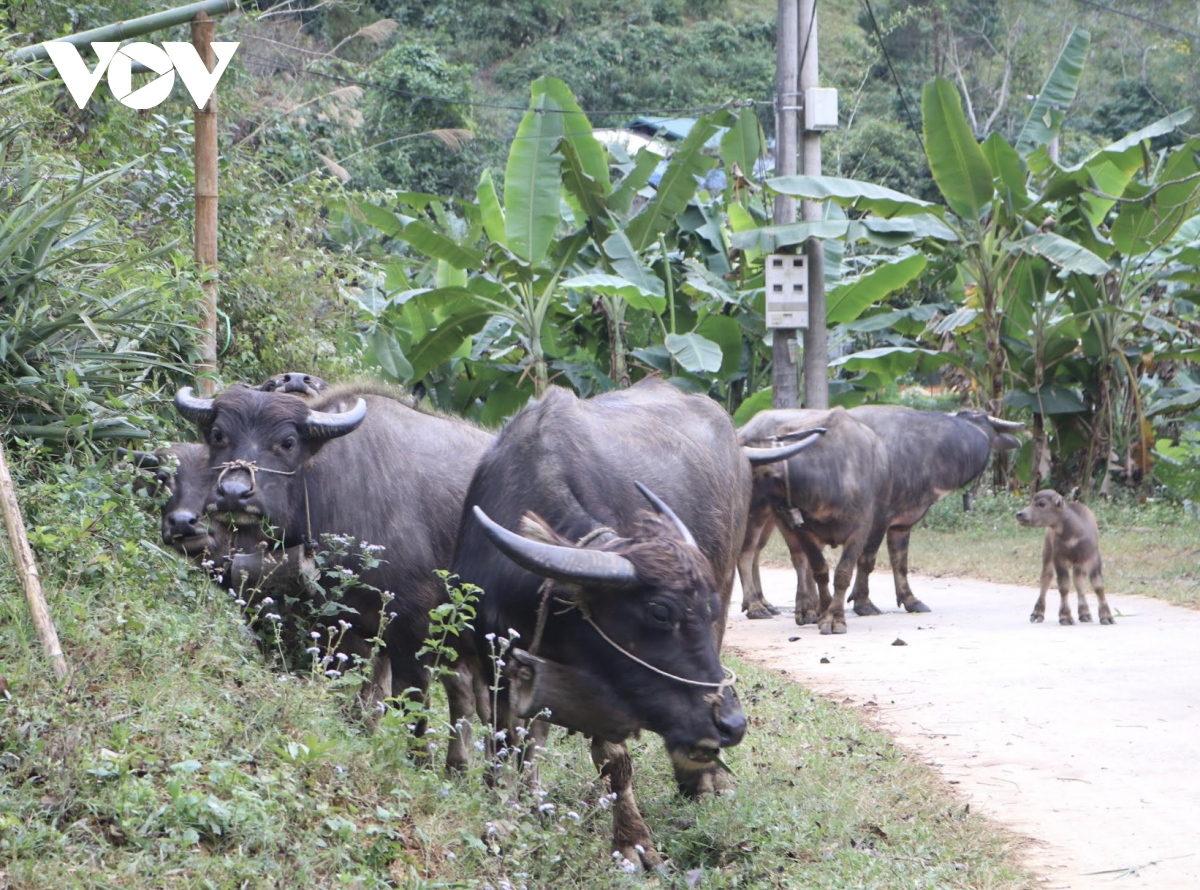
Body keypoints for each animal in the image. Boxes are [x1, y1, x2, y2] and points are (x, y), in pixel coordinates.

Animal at [172, 379, 492, 772]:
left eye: (287, 442)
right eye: (218, 435)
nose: (234, 493)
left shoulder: (413, 626)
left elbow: (412, 700)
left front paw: (417, 759)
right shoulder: (342, 625)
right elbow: (361, 695)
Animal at [451, 379, 816, 873]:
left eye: (705, 610)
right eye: (659, 612)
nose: (733, 724)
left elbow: (612, 759)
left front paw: (633, 844)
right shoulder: (493, 660)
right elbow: (508, 739)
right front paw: (512, 813)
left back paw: (704, 781)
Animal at [734, 410, 897, 633]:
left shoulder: (861, 529)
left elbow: (843, 572)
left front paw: (833, 617)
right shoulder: (804, 531)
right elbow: (819, 570)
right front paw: (826, 613)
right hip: (761, 514)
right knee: (751, 553)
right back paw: (758, 606)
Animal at [844, 407, 1022, 618]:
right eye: (980, 417)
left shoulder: (902, 523)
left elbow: (900, 563)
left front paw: (911, 601)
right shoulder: (877, 521)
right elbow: (866, 560)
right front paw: (863, 604)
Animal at [1017, 486, 1108, 628]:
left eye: (1042, 504)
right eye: (1032, 502)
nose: (1019, 514)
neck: (1074, 533)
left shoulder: (1093, 558)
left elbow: (1098, 586)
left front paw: (1106, 617)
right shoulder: (1059, 559)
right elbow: (1064, 587)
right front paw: (1065, 617)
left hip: (1079, 563)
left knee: (1079, 581)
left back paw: (1085, 613)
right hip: (1048, 551)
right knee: (1046, 578)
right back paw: (1037, 613)